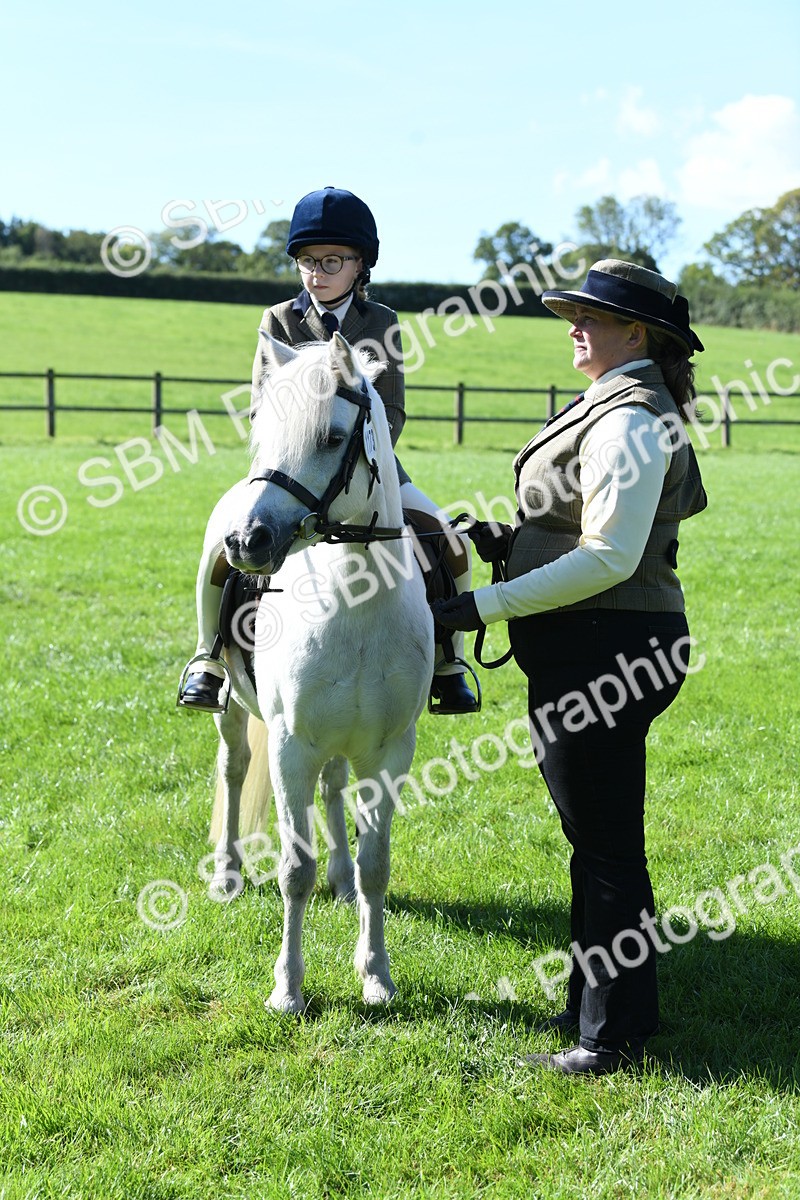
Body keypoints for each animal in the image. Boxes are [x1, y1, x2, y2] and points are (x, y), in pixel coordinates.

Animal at [209, 331, 434, 1013]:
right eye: (261, 427)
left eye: (333, 437)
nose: (247, 541)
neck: (353, 600)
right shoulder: (292, 748)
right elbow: (293, 869)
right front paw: (287, 988)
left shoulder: (390, 751)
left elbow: (376, 865)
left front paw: (377, 975)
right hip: (232, 708)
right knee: (233, 769)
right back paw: (227, 872)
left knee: (336, 791)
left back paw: (341, 878)